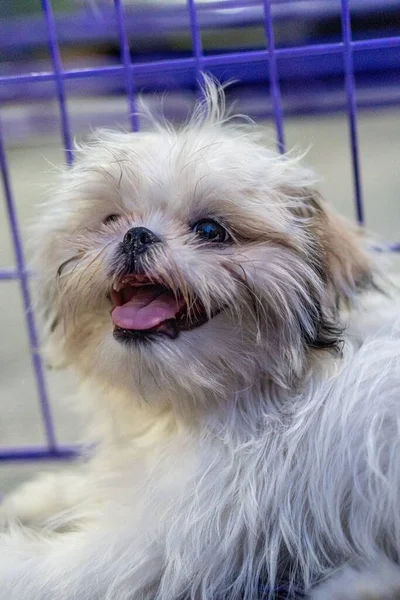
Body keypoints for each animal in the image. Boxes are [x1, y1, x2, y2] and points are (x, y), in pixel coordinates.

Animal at [0, 81, 400, 600]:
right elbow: (100, 483)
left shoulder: (150, 545)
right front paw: (42, 495)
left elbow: (39, 566)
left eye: (211, 230)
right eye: (111, 218)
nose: (136, 234)